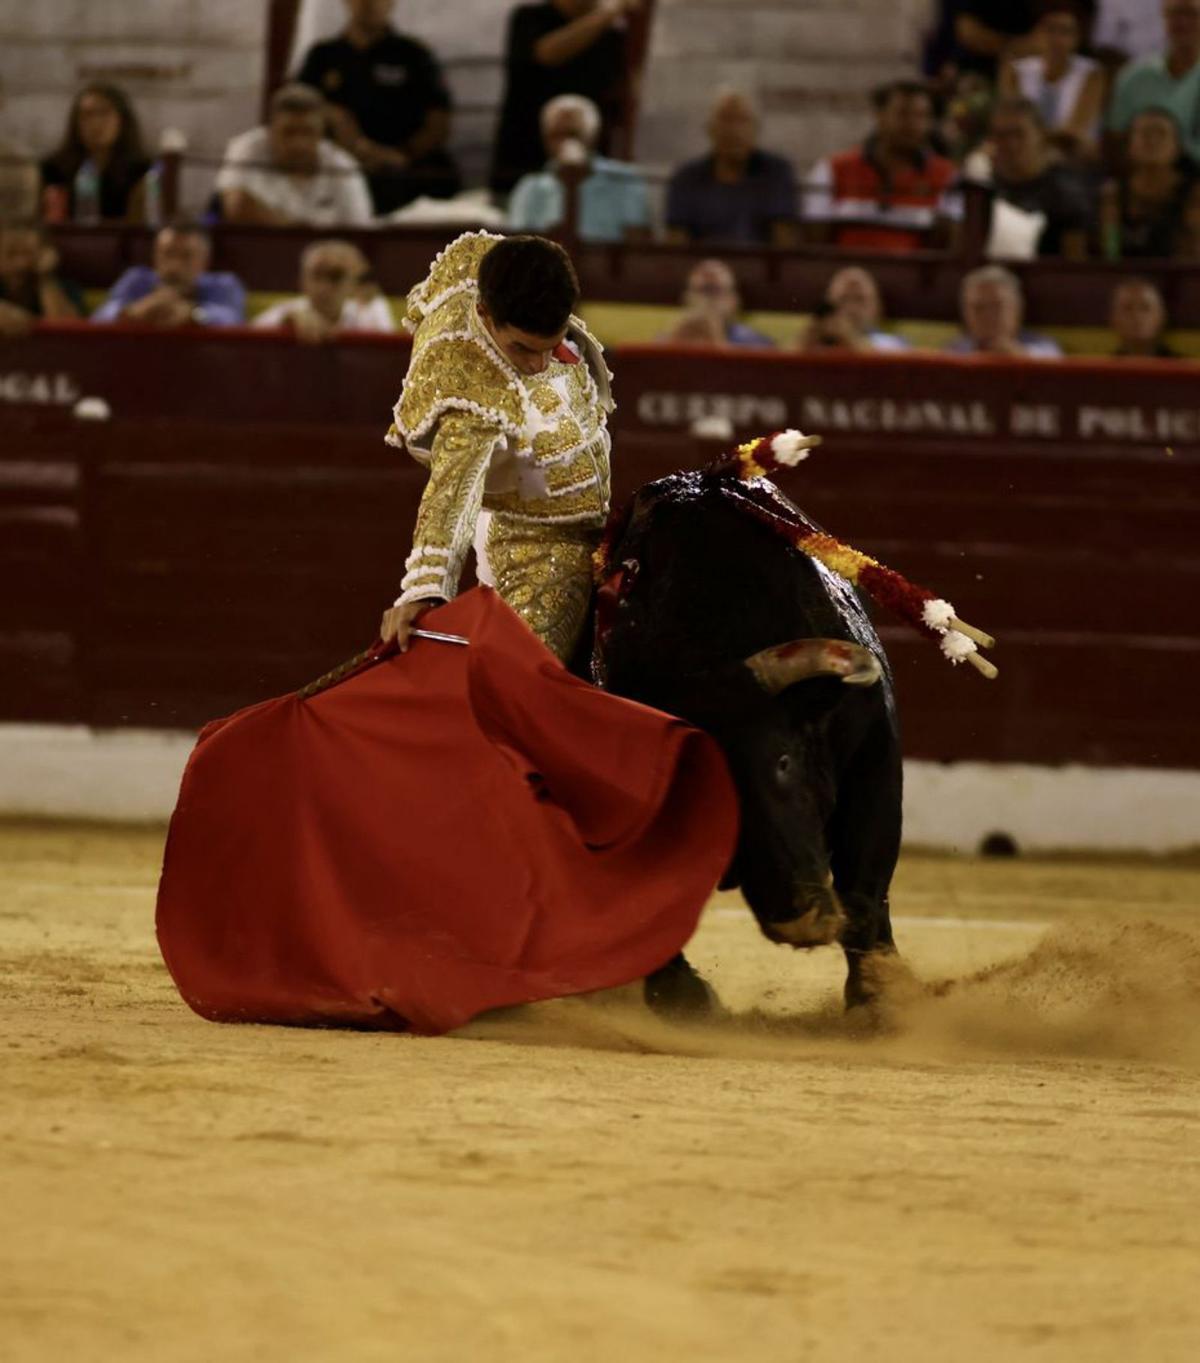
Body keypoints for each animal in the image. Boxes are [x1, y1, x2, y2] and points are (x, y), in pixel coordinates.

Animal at [591, 468, 900, 1014]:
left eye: (783, 762)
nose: (798, 920)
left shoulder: (875, 759)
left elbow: (864, 881)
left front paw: (874, 997)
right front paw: (682, 996)